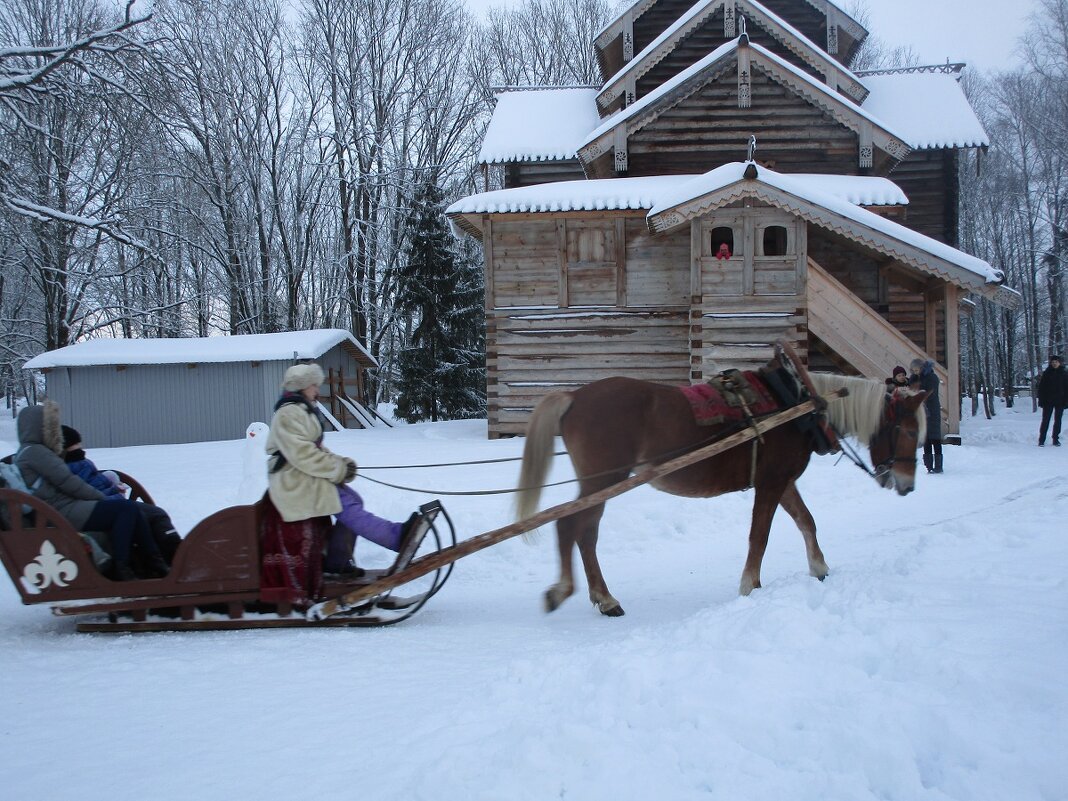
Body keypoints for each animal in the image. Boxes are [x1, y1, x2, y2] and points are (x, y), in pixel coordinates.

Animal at [514, 373, 927, 619]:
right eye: (908, 430)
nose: (907, 485)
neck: (796, 405)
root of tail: (574, 395)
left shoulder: (783, 481)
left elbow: (806, 520)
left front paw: (819, 567)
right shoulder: (771, 482)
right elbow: (760, 536)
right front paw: (750, 586)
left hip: (601, 482)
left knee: (586, 533)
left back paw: (602, 597)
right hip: (603, 480)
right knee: (570, 526)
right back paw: (568, 591)